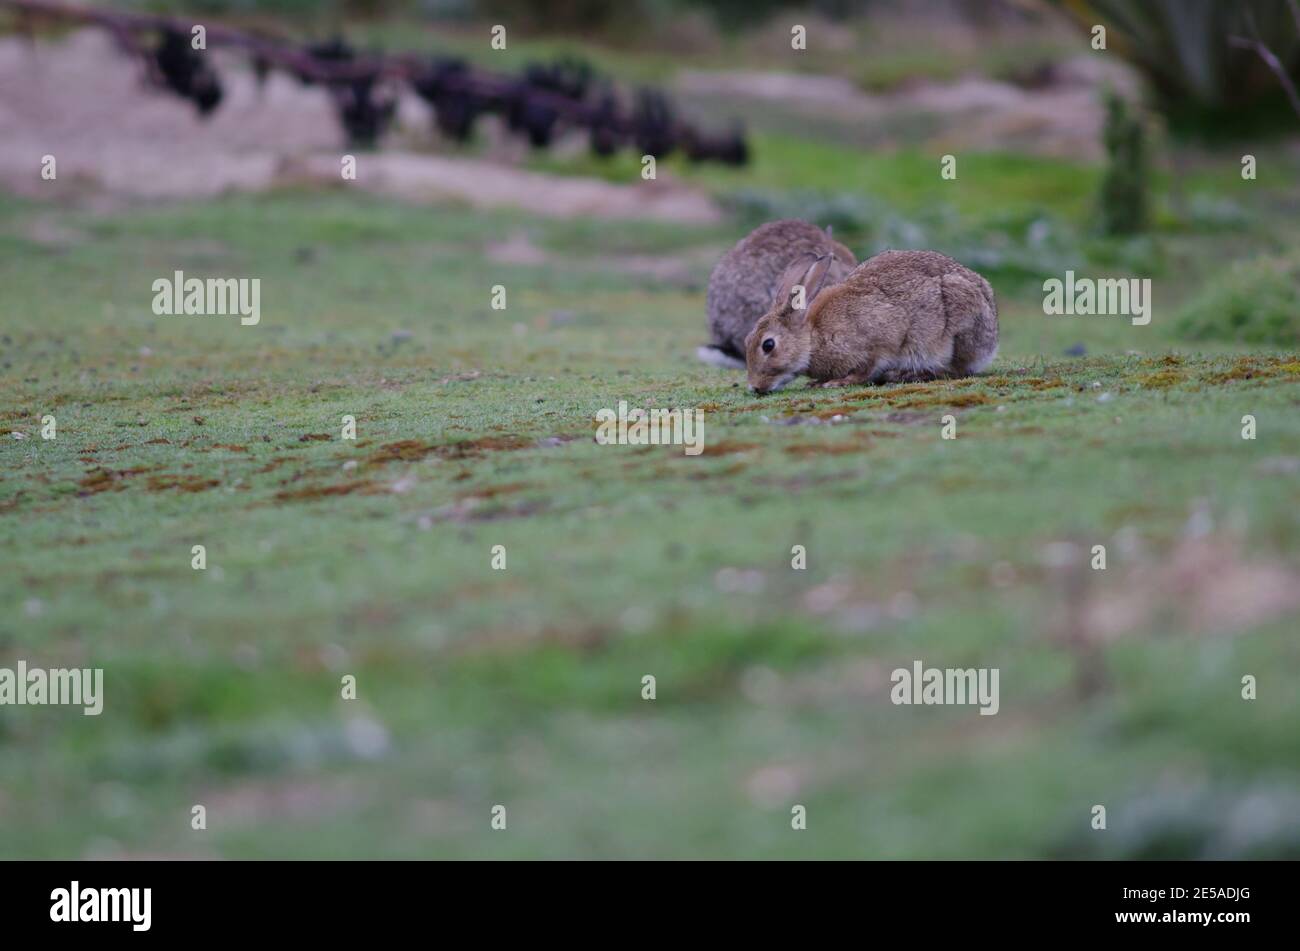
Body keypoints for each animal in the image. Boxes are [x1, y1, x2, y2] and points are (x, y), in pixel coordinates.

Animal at [744, 249, 998, 394]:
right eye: (747, 340)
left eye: (768, 345)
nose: (755, 387)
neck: (812, 337)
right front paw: (816, 383)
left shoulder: (878, 343)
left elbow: (866, 369)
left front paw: (837, 383)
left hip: (957, 330)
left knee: (956, 370)